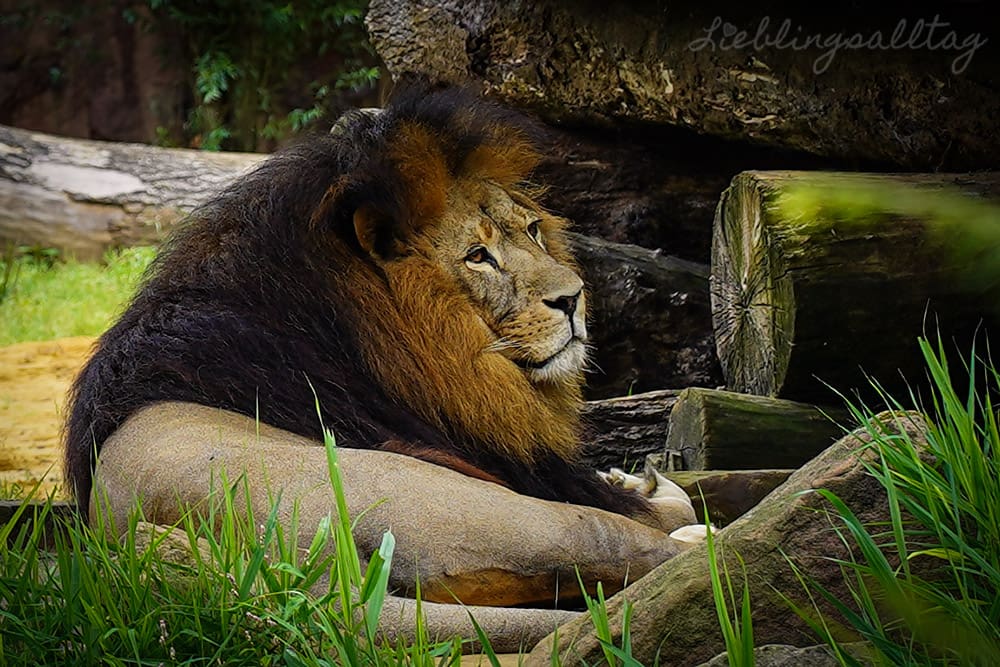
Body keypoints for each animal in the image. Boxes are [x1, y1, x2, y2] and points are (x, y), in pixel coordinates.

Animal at [66, 85, 700, 652]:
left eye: (533, 229)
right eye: (478, 256)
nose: (574, 298)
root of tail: (307, 583)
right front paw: (637, 482)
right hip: (484, 508)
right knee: (656, 541)